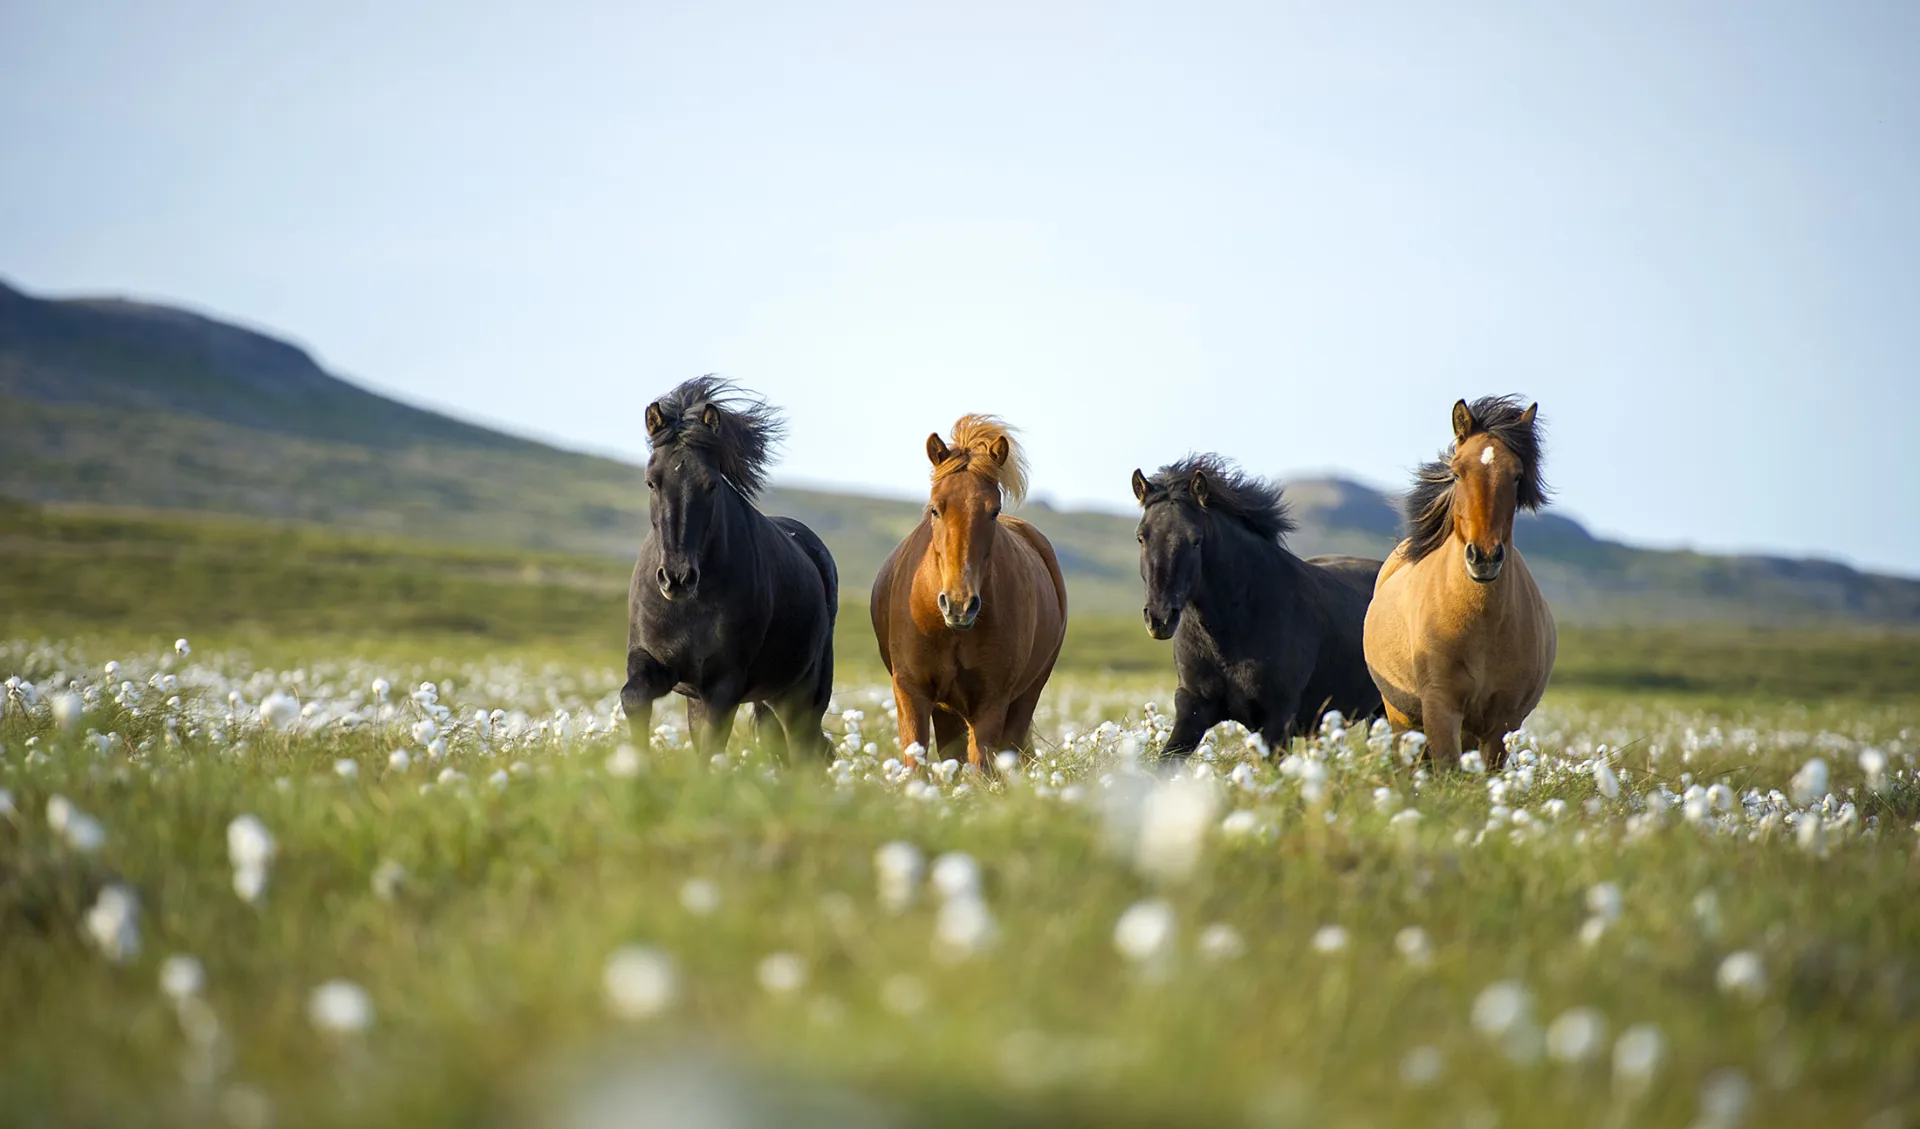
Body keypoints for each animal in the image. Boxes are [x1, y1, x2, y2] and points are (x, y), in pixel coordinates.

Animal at [622, 376, 840, 760]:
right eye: (651, 481)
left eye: (710, 484)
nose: (677, 578)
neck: (690, 605)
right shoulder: (654, 662)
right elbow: (633, 697)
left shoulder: (724, 683)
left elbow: (710, 748)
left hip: (801, 694)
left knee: (807, 751)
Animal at [867, 418, 1067, 771]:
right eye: (935, 509)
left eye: (993, 510)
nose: (959, 605)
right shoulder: (911, 693)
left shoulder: (990, 703)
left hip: (1024, 698)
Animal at [1367, 391, 1559, 771]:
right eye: (1456, 473)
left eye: (1517, 476)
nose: (1483, 557)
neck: (1482, 623)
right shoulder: (1441, 709)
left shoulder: (1501, 724)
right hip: (1400, 717)